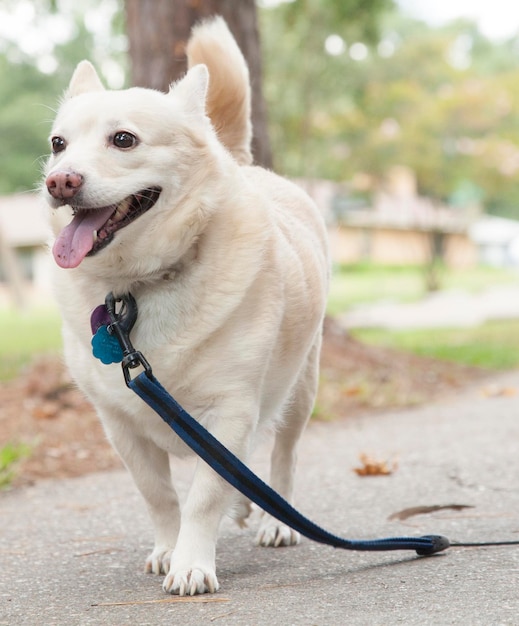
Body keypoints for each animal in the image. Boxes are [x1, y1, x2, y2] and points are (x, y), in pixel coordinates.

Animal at [44, 18, 330, 596]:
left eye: (124, 139)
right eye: (58, 145)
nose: (59, 181)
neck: (138, 286)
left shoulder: (230, 411)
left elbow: (204, 495)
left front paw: (192, 562)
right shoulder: (120, 424)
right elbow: (159, 495)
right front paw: (167, 549)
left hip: (301, 387)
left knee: (282, 455)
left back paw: (275, 522)